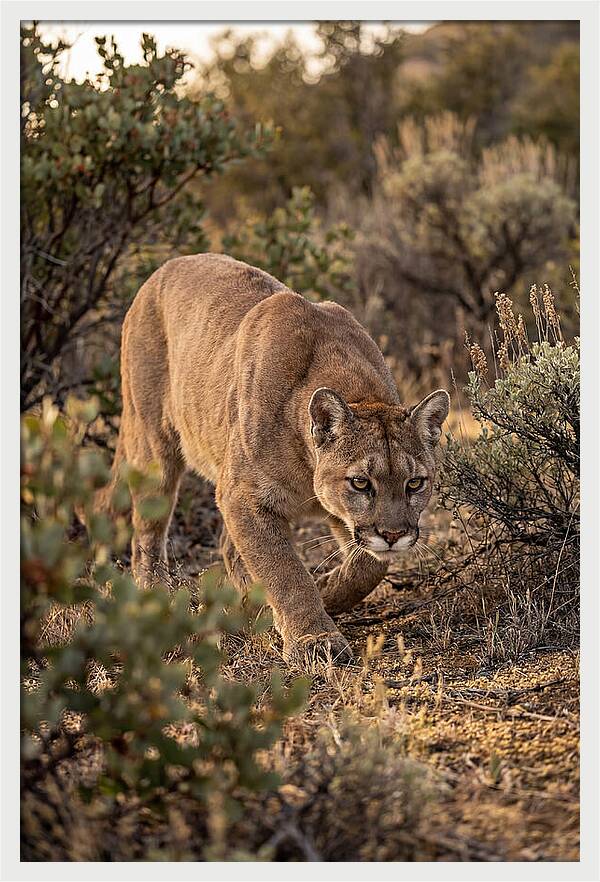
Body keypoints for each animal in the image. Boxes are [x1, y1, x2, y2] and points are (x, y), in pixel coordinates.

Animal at [101, 253, 449, 663]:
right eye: (361, 483)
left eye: (415, 483)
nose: (394, 535)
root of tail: (164, 268)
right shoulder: (244, 496)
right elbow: (284, 570)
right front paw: (314, 638)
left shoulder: (332, 513)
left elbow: (368, 565)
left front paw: (327, 590)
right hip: (154, 446)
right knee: (147, 535)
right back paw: (156, 595)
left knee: (226, 547)